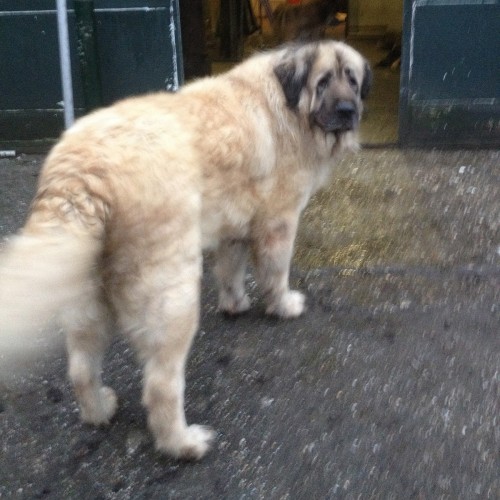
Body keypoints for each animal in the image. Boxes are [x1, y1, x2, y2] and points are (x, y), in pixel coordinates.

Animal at [0, 41, 371, 460]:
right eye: (323, 82)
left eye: (352, 80)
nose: (348, 110)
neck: (288, 105)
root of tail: (80, 174)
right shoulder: (279, 222)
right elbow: (275, 273)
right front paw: (283, 306)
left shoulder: (233, 228)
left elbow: (230, 271)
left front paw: (235, 304)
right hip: (172, 297)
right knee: (160, 385)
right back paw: (183, 443)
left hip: (87, 302)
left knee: (80, 367)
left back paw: (98, 411)